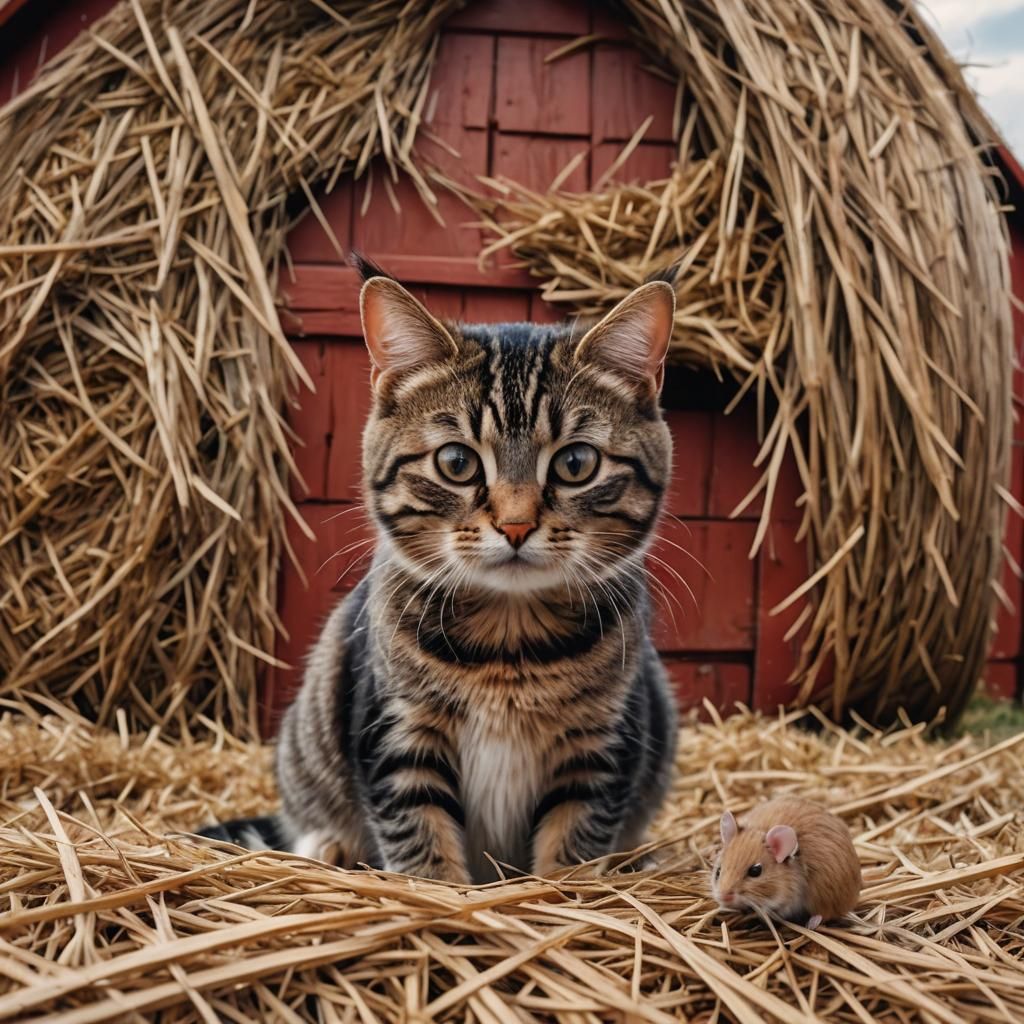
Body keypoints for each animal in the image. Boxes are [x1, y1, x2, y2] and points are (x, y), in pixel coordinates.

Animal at [199, 258, 679, 880]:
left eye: (576, 463)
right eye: (456, 462)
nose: (516, 526)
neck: (509, 643)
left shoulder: (600, 747)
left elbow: (573, 847)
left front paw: (566, 891)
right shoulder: (397, 737)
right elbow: (422, 846)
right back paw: (328, 847)